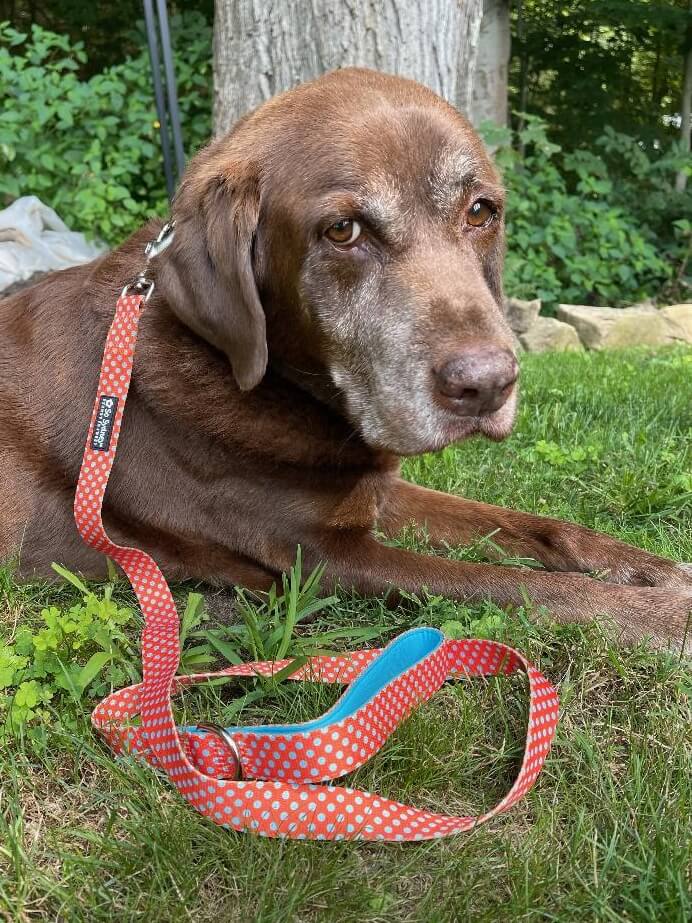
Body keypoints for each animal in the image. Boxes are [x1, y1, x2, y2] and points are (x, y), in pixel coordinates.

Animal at [0, 68, 688, 648]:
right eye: (342, 231)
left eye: (480, 211)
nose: (488, 385)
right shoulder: (321, 555)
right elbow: (517, 584)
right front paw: (660, 616)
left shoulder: (370, 492)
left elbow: (540, 527)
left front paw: (660, 572)